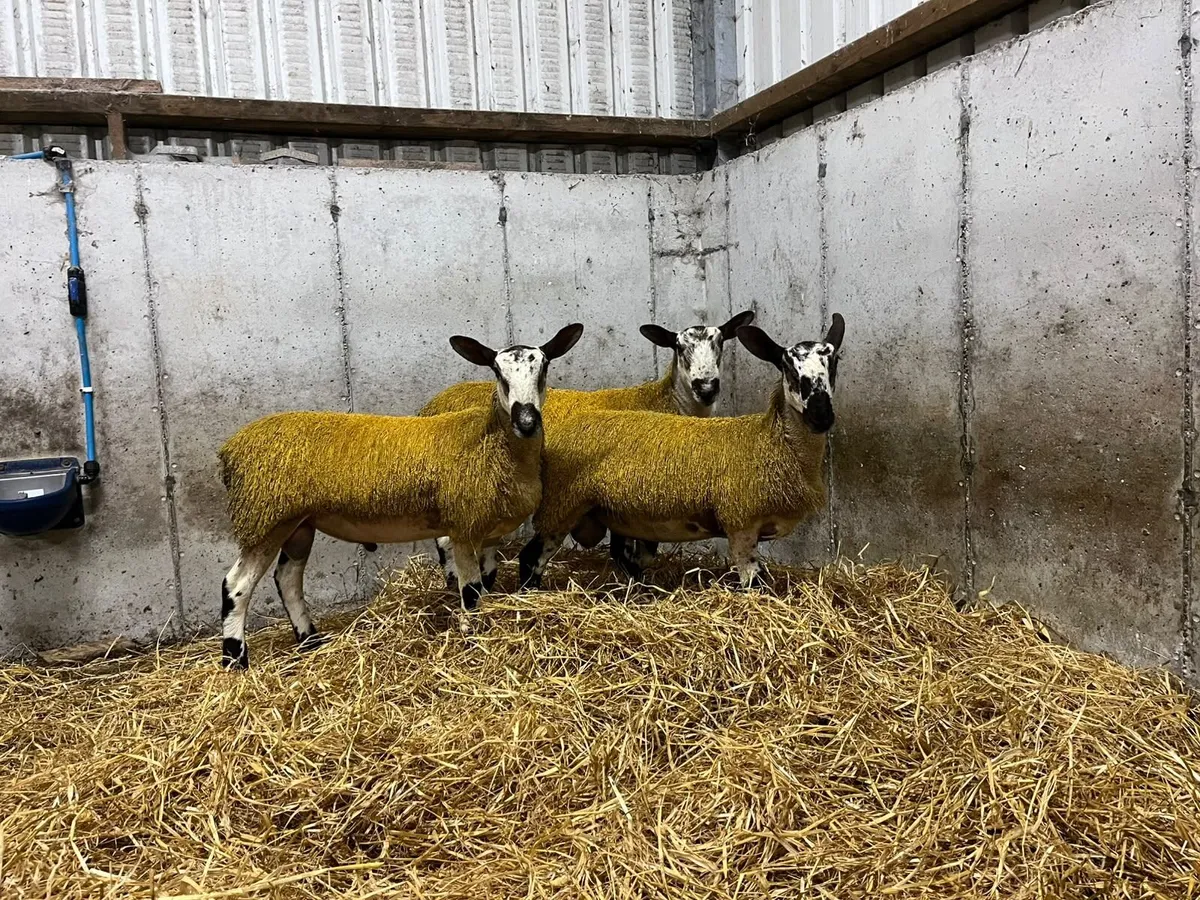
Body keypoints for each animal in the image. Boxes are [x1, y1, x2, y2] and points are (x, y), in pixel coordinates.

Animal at [214, 323, 584, 669]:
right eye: (496, 370)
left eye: (545, 366)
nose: (527, 421)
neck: (491, 441)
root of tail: (230, 451)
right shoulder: (463, 526)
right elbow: (471, 590)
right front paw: (471, 639)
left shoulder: (488, 527)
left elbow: (486, 580)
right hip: (266, 519)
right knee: (237, 585)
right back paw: (235, 659)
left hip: (298, 525)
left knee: (288, 579)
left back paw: (309, 641)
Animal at [418, 311, 756, 587]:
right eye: (679, 347)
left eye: (720, 343)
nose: (707, 387)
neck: (665, 402)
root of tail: (431, 406)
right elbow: (630, 554)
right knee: (450, 543)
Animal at [516, 315, 845, 591]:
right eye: (788, 368)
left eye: (834, 362)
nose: (821, 415)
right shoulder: (741, 524)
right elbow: (754, 583)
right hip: (562, 506)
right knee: (530, 557)